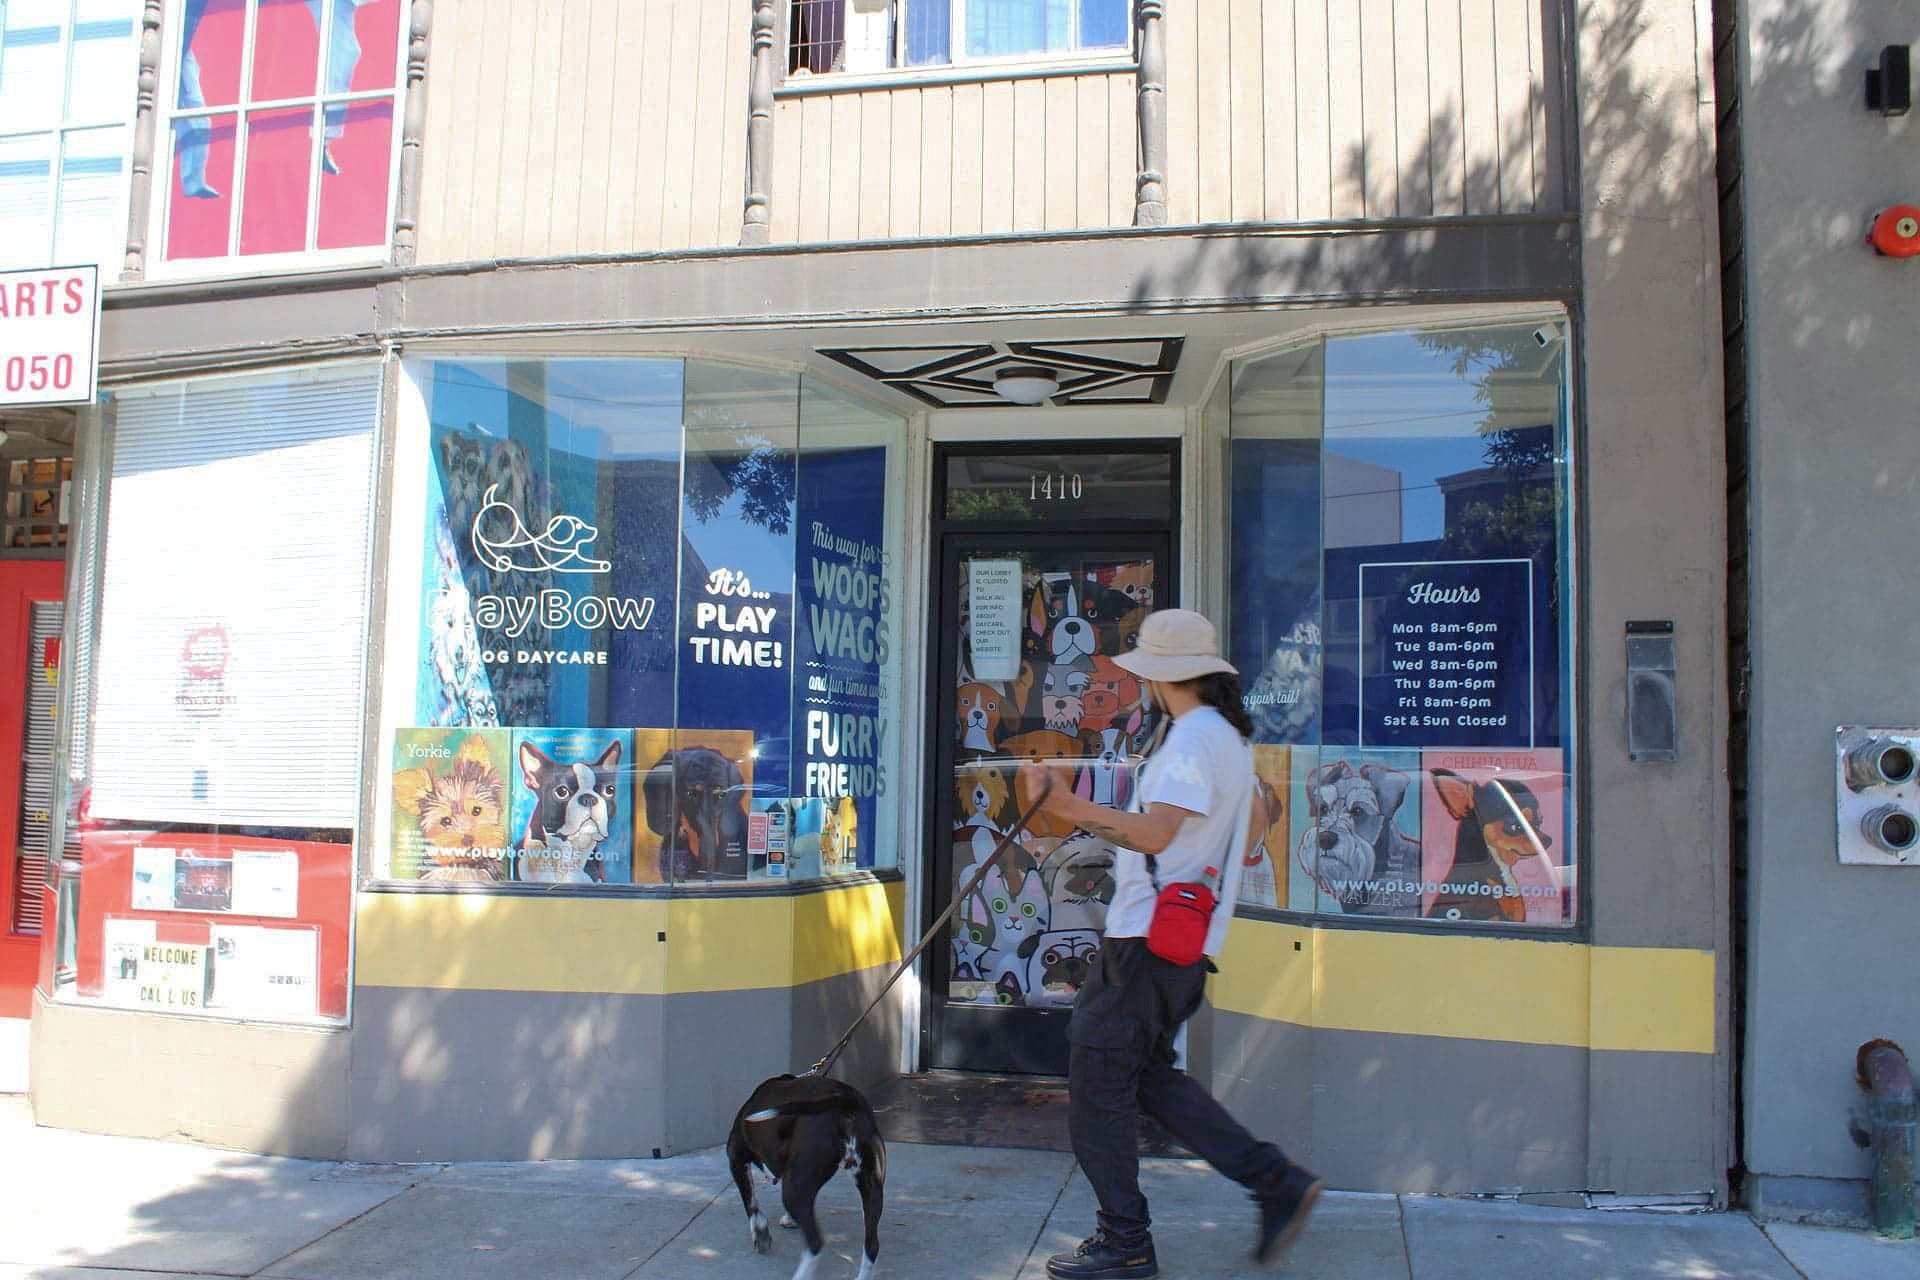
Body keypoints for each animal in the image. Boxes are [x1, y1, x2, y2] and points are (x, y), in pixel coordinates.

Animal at [729, 1074, 887, 1274]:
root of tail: (846, 1100)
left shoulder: (735, 1157)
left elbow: (750, 1202)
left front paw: (760, 1233)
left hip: (794, 1190)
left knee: (815, 1245)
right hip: (871, 1185)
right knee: (871, 1246)